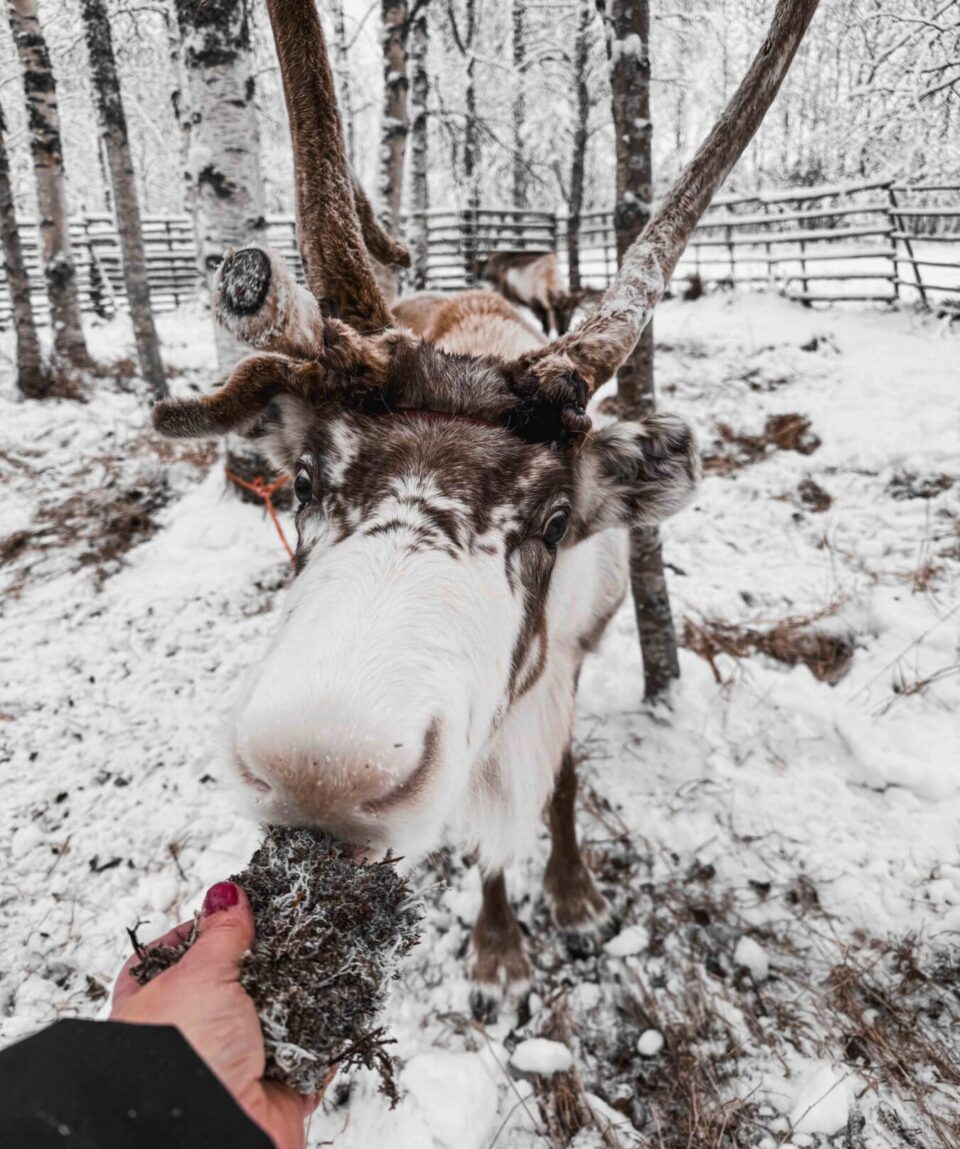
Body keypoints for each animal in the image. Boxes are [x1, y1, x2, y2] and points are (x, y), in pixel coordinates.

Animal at [151, 0, 820, 1019]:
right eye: (305, 482)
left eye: (555, 521)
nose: (321, 771)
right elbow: (482, 831)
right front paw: (499, 953)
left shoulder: (569, 652)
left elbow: (561, 782)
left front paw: (577, 900)